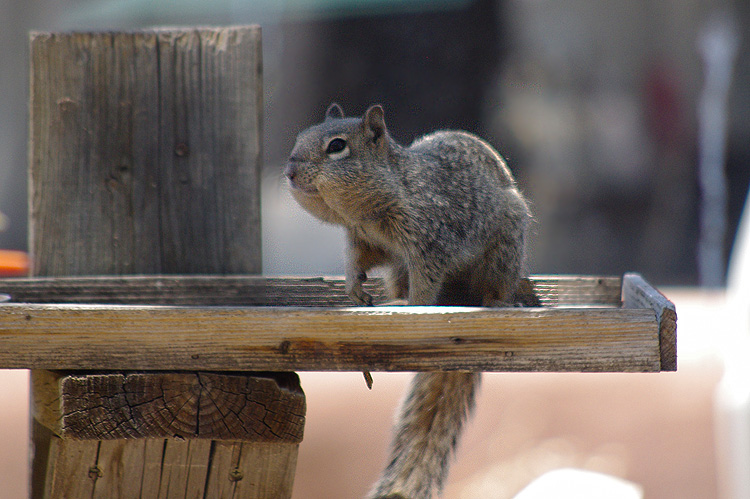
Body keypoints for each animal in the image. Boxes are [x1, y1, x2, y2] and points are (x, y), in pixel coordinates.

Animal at [286, 103, 536, 498]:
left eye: (337, 146)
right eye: (298, 137)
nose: (290, 171)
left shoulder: (430, 241)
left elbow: (426, 280)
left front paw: (417, 304)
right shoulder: (363, 241)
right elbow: (357, 263)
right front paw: (354, 290)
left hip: (504, 249)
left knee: (495, 285)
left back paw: (497, 302)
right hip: (400, 271)